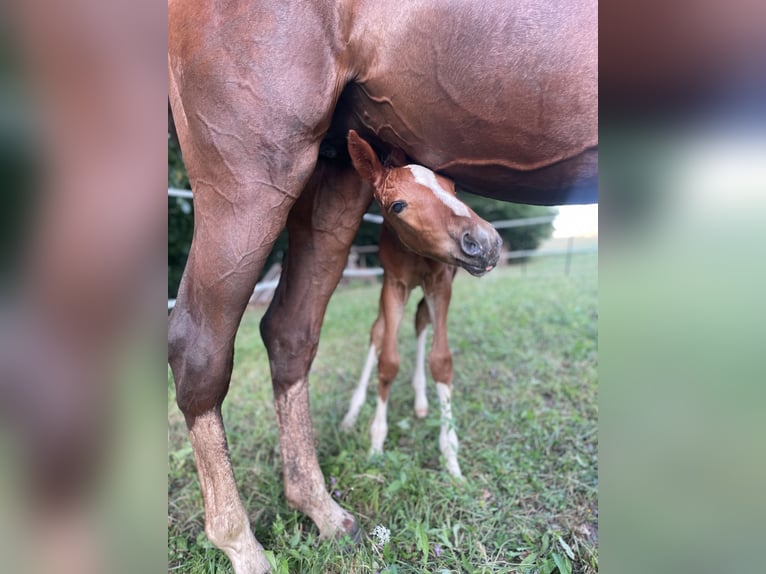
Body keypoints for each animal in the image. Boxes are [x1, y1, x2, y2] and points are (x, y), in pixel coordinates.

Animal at [340, 131, 500, 478]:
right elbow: (387, 361)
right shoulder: (393, 285)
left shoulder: (441, 283)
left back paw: (421, 400)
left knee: (421, 320)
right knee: (377, 332)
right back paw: (351, 413)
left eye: (453, 187)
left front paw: (451, 459)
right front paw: (375, 444)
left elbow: (441, 360)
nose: (486, 242)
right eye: (397, 205)